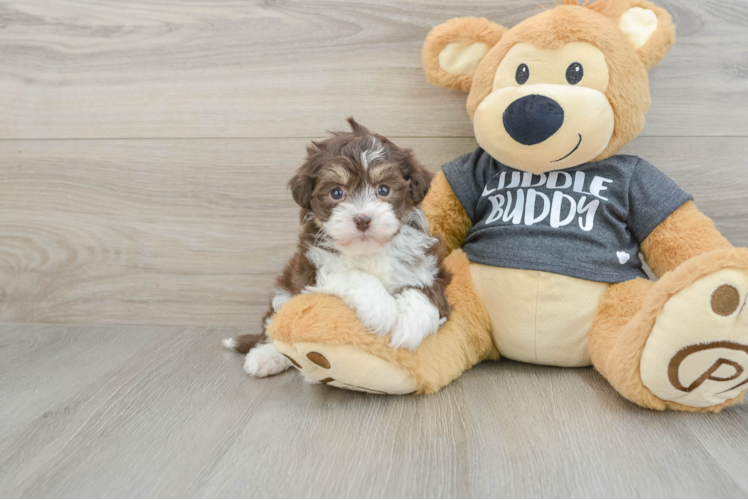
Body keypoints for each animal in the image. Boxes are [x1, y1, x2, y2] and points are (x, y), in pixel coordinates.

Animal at [222, 119, 450, 376]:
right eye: (337, 192)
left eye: (383, 189)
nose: (363, 219)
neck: (368, 250)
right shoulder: (312, 270)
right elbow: (353, 275)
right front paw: (382, 311)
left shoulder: (428, 264)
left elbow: (426, 292)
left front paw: (409, 326)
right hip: (284, 294)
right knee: (274, 328)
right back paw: (266, 356)